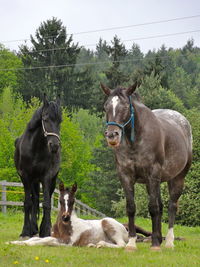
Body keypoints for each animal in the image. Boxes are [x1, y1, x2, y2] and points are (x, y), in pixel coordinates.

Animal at [14, 96, 61, 239]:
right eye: (45, 119)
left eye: (60, 121)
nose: (54, 146)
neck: (35, 147)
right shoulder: (25, 177)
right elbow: (28, 203)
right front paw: (25, 231)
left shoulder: (46, 177)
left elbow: (46, 203)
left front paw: (45, 230)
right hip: (34, 181)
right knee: (34, 200)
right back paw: (33, 228)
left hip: (51, 180)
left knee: (46, 198)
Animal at [101, 83, 192, 251]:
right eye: (106, 107)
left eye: (125, 107)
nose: (112, 135)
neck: (135, 140)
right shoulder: (125, 175)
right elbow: (131, 207)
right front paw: (131, 243)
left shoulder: (153, 173)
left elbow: (153, 207)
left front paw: (155, 244)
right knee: (161, 206)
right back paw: (159, 238)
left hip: (177, 178)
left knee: (172, 206)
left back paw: (168, 242)